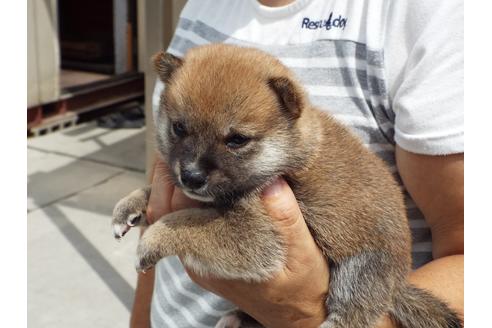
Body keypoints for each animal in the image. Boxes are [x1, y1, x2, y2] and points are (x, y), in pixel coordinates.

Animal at [110, 44, 462, 328]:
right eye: (179, 128)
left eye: (236, 140)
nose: (191, 177)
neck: (288, 155)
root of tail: (399, 283)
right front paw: (129, 205)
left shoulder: (257, 238)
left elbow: (183, 223)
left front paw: (154, 239)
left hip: (359, 271)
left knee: (354, 313)